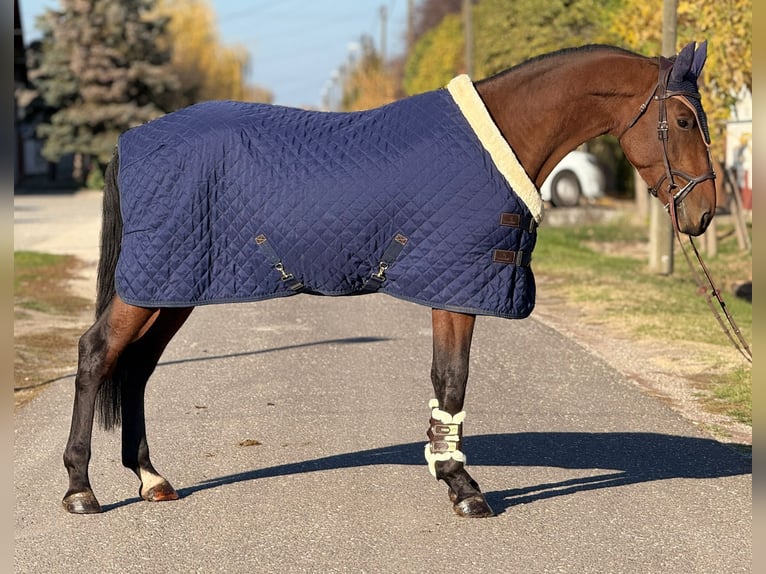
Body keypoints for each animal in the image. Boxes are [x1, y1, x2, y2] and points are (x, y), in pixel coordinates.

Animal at [62, 42, 716, 516]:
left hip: (173, 286)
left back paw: (151, 478)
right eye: (684, 119)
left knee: (137, 368)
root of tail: (134, 139)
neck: (498, 140)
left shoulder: (452, 285)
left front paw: (450, 472)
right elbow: (452, 381)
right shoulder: (455, 287)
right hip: (154, 282)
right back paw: (80, 489)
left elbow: (446, 382)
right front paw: (464, 488)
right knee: (97, 352)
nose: (704, 213)